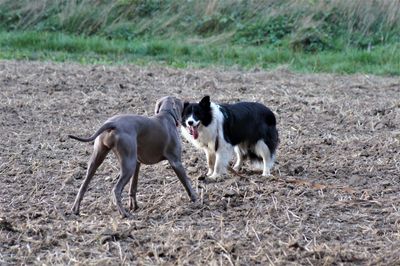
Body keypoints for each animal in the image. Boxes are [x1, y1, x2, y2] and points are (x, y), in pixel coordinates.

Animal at [69, 96, 197, 217]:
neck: (166, 114)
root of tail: (112, 123)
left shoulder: (137, 163)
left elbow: (133, 187)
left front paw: (133, 206)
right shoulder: (176, 162)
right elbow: (187, 182)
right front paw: (196, 199)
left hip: (98, 158)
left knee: (83, 185)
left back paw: (75, 210)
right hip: (128, 166)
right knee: (116, 190)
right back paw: (123, 214)